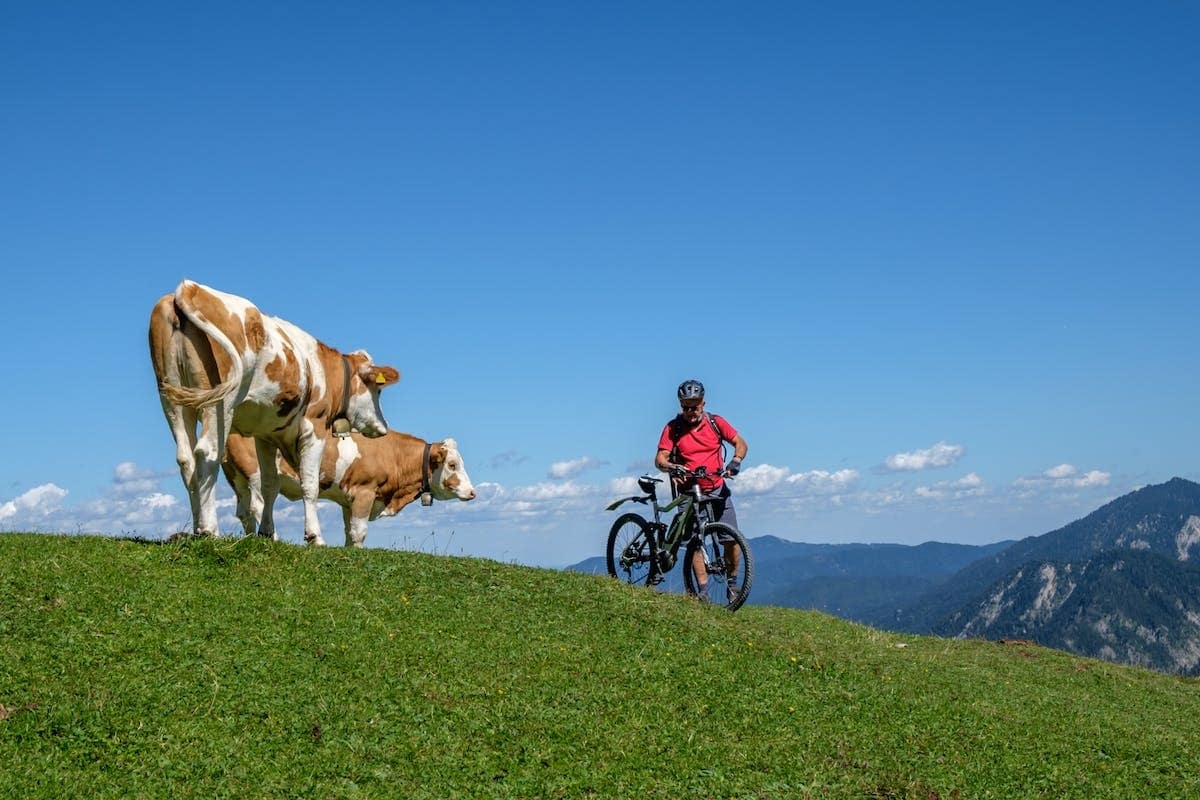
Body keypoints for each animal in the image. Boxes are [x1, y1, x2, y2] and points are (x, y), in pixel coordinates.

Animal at [147, 280, 400, 544]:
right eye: (378, 390)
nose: (383, 427)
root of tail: (190, 287)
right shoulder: (314, 427)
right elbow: (310, 483)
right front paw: (314, 537)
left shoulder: (265, 435)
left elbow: (269, 484)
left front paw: (267, 532)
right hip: (219, 404)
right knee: (207, 453)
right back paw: (209, 529)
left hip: (172, 398)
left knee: (186, 459)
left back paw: (197, 528)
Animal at [223, 431, 475, 544]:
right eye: (452, 465)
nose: (473, 492)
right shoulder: (364, 492)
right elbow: (360, 531)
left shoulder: (348, 499)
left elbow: (349, 530)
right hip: (256, 474)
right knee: (259, 504)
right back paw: (275, 538)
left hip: (237, 478)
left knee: (244, 511)